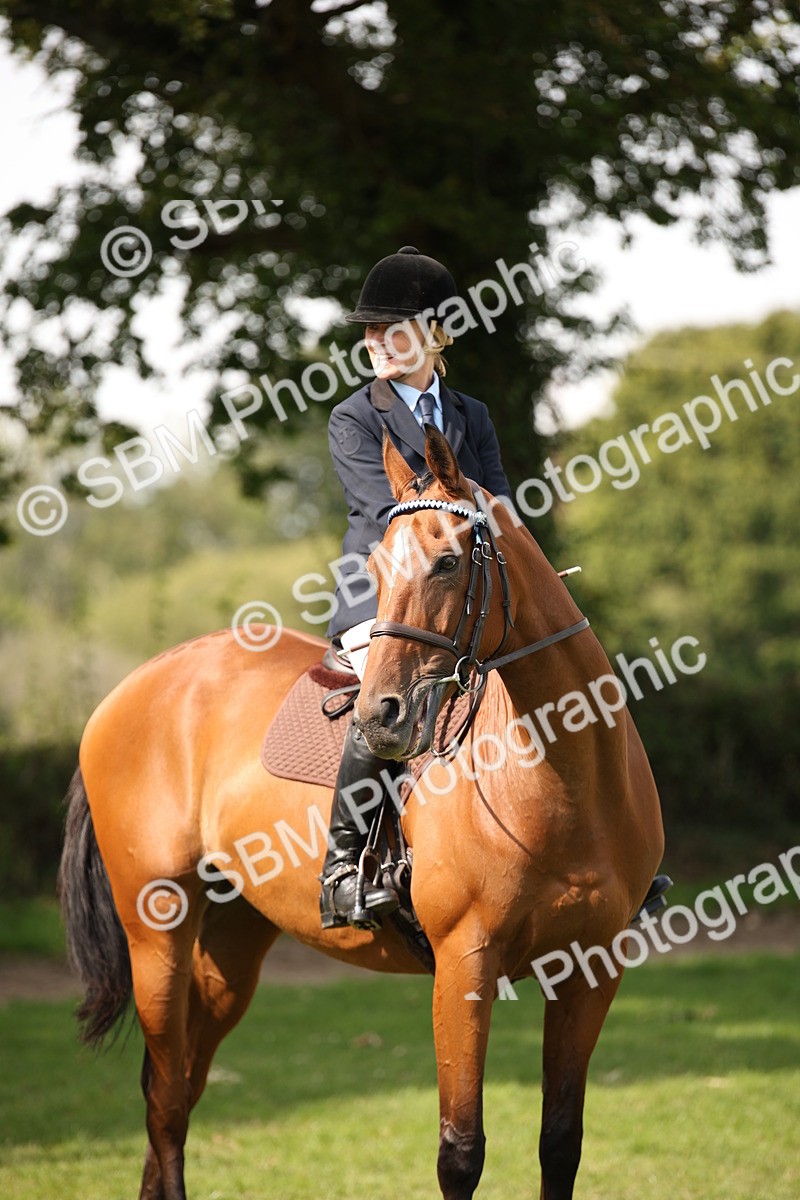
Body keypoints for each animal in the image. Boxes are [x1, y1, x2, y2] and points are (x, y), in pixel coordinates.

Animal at [59, 424, 664, 1200]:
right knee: (165, 1102)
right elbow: (460, 1152)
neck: (565, 780)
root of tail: (130, 687)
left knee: (178, 1091)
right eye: (374, 565)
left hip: (229, 947)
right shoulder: (464, 963)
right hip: (156, 932)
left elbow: (560, 1143)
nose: (380, 717)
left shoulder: (592, 966)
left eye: (447, 561)